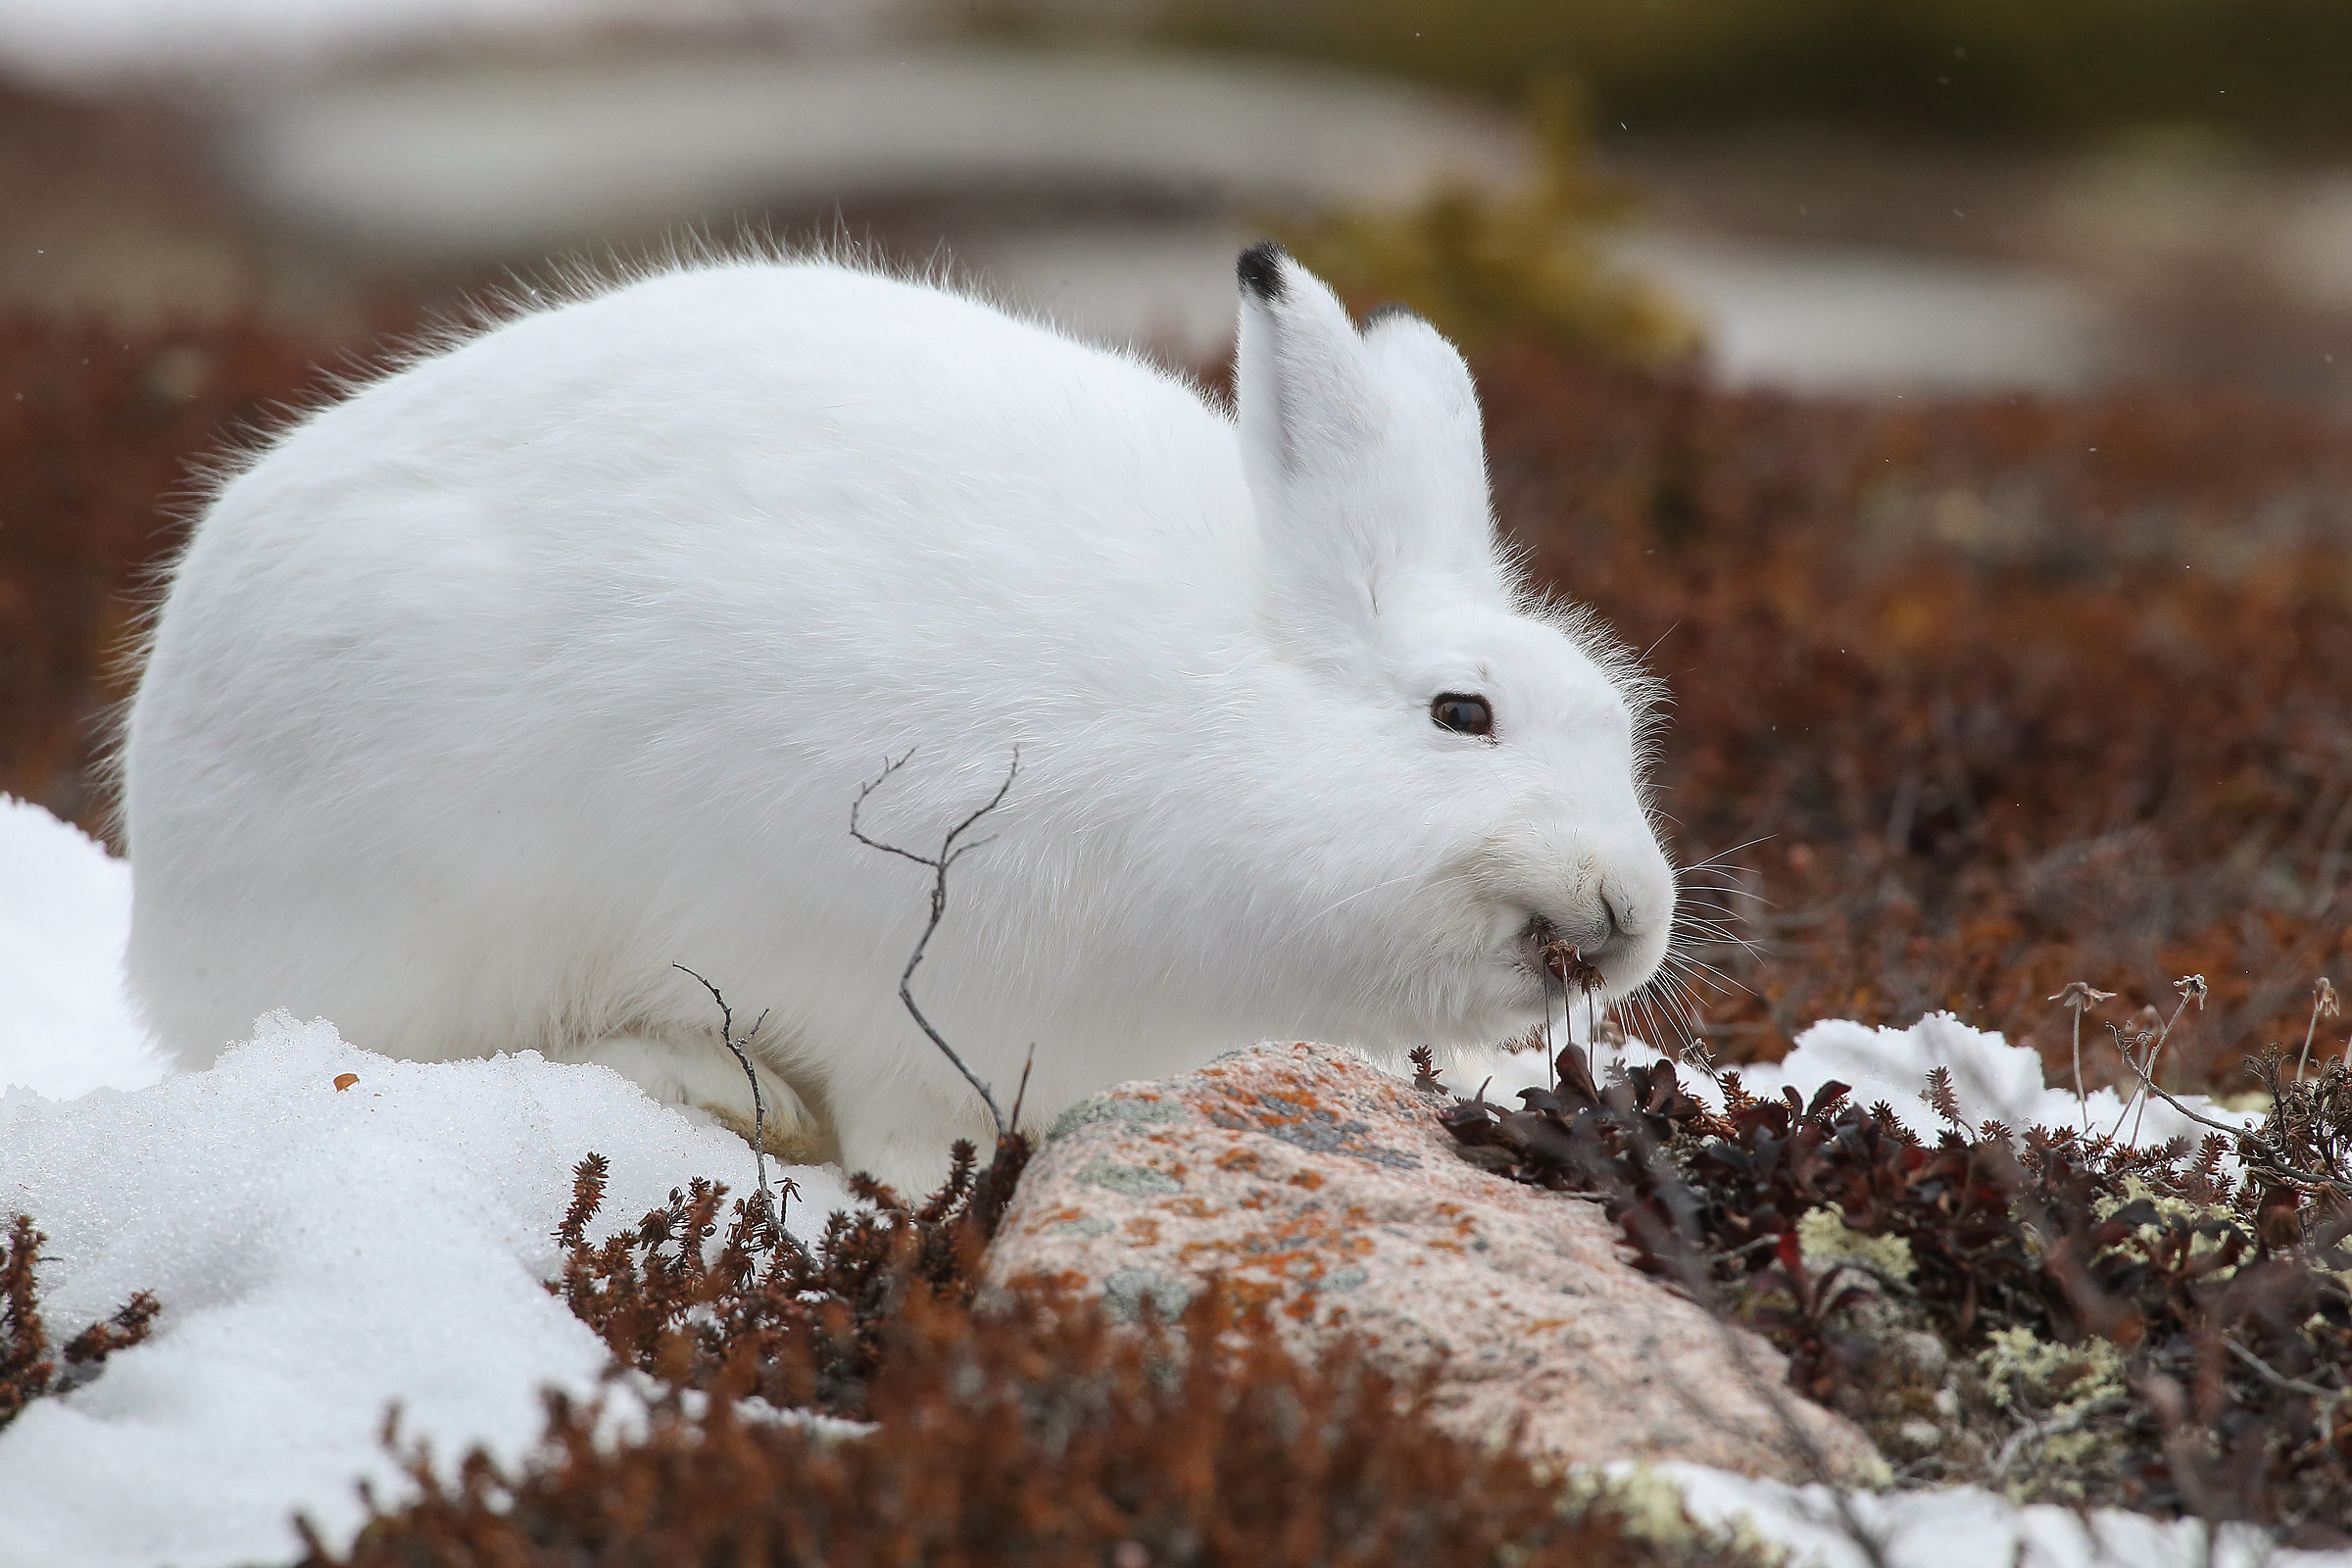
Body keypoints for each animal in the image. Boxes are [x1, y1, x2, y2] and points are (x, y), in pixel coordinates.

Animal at [120, 243, 1678, 1194]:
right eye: (1462, 714)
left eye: (1616, 723)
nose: (1632, 912)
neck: (1236, 718)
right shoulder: (913, 981)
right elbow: (909, 1125)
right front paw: (922, 1203)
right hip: (434, 904)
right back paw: (713, 1084)